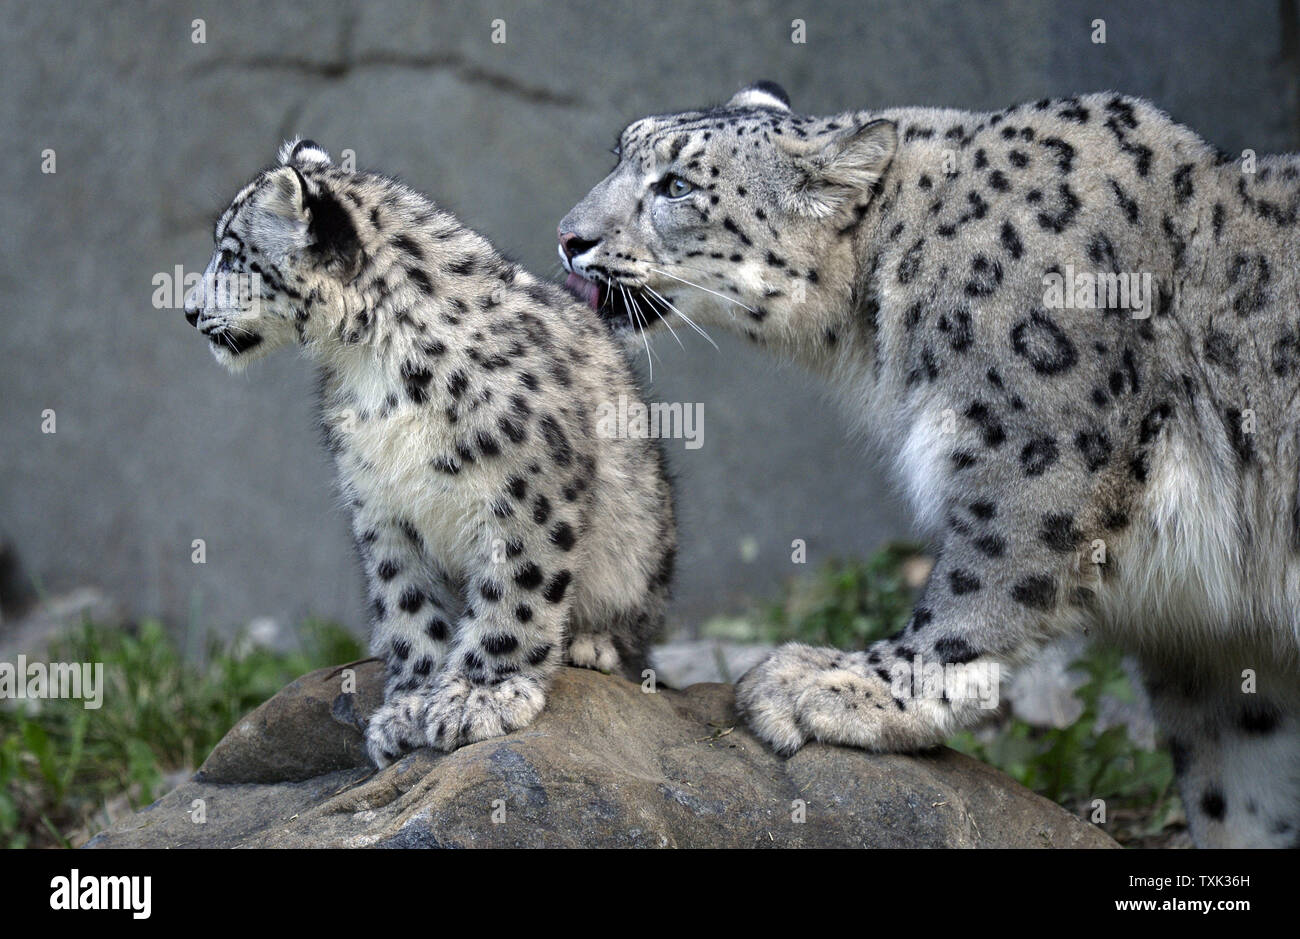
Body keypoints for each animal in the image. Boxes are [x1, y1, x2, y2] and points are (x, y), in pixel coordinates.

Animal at [187, 141, 676, 769]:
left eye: (230, 257)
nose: (188, 311)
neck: (374, 364)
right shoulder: (380, 502)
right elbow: (407, 603)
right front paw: (410, 706)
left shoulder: (526, 491)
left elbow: (514, 593)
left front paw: (478, 698)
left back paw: (595, 644)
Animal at [559, 80, 1300, 842]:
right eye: (619, 155)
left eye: (676, 185)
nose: (568, 236)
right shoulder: (1214, 641)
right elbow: (1236, 784)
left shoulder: (1040, 453)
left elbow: (982, 583)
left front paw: (846, 687)